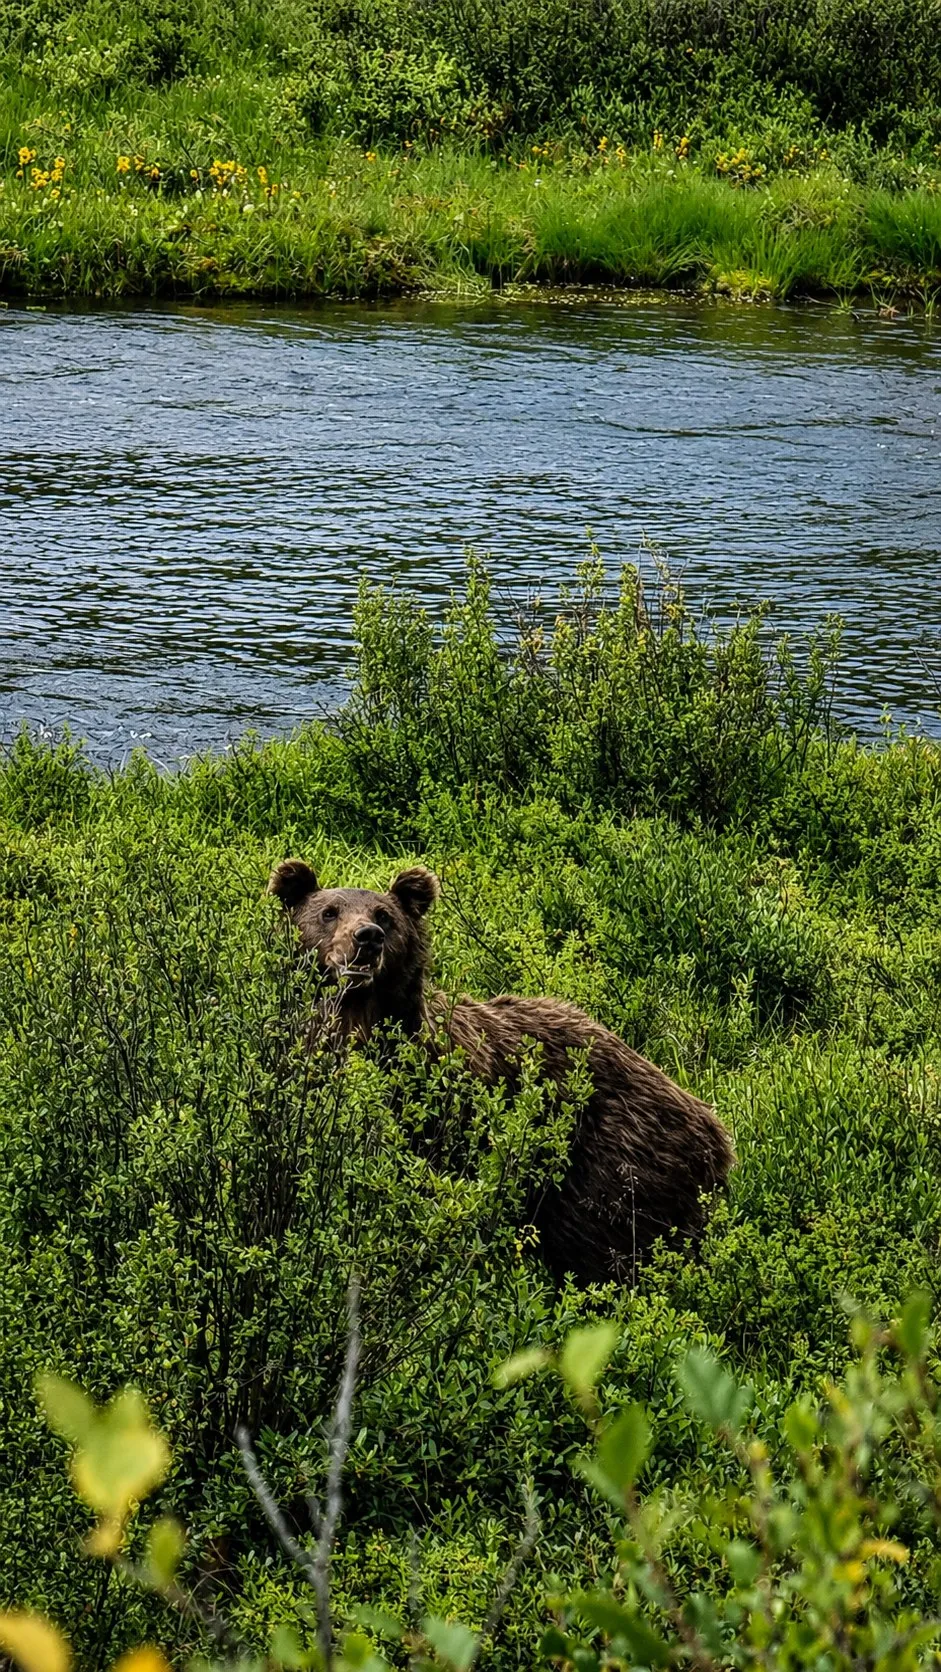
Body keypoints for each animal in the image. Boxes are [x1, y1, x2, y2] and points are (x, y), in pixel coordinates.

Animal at [268, 858, 734, 1287]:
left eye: (385, 915)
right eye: (329, 912)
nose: (367, 938)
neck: (357, 1020)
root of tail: (714, 1128)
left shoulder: (441, 1098)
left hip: (613, 1160)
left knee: (610, 1248)